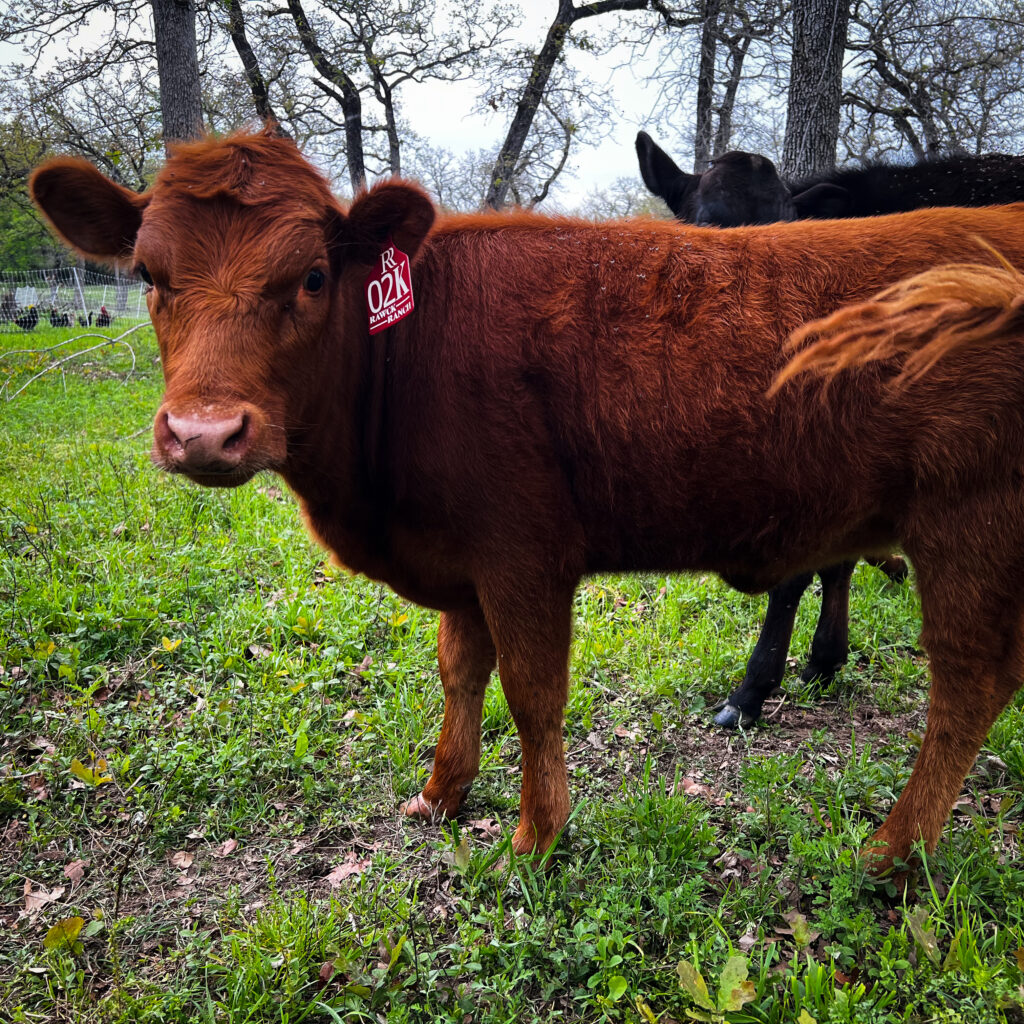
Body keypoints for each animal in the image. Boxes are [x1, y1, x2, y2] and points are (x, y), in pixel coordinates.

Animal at [28, 130, 1024, 872]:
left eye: (311, 276)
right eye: (148, 276)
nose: (204, 433)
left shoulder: (522, 554)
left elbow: (534, 693)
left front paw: (537, 837)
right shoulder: (459, 559)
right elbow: (459, 672)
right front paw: (442, 792)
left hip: (970, 521)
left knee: (968, 685)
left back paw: (892, 854)